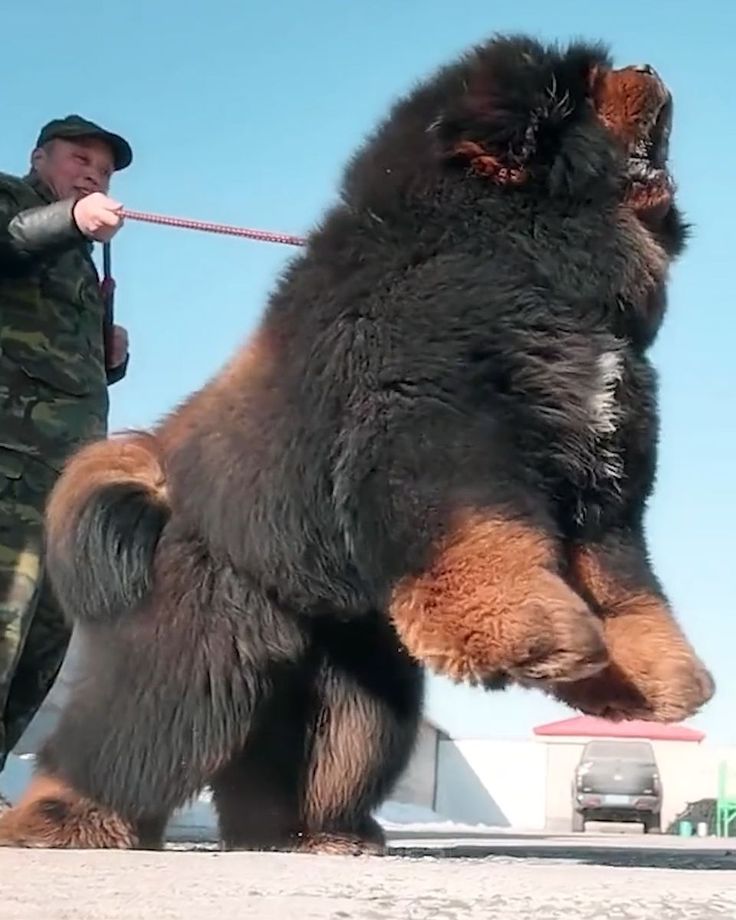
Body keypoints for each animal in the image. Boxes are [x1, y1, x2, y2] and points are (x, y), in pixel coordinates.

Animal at [0, 32, 712, 852]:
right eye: (584, 88)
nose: (651, 68)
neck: (503, 252)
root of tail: (162, 478)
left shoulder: (600, 481)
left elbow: (624, 586)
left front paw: (659, 677)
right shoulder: (437, 442)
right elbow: (489, 544)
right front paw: (539, 636)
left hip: (354, 677)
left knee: (308, 755)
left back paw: (309, 833)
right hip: (204, 641)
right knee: (130, 730)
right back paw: (64, 818)